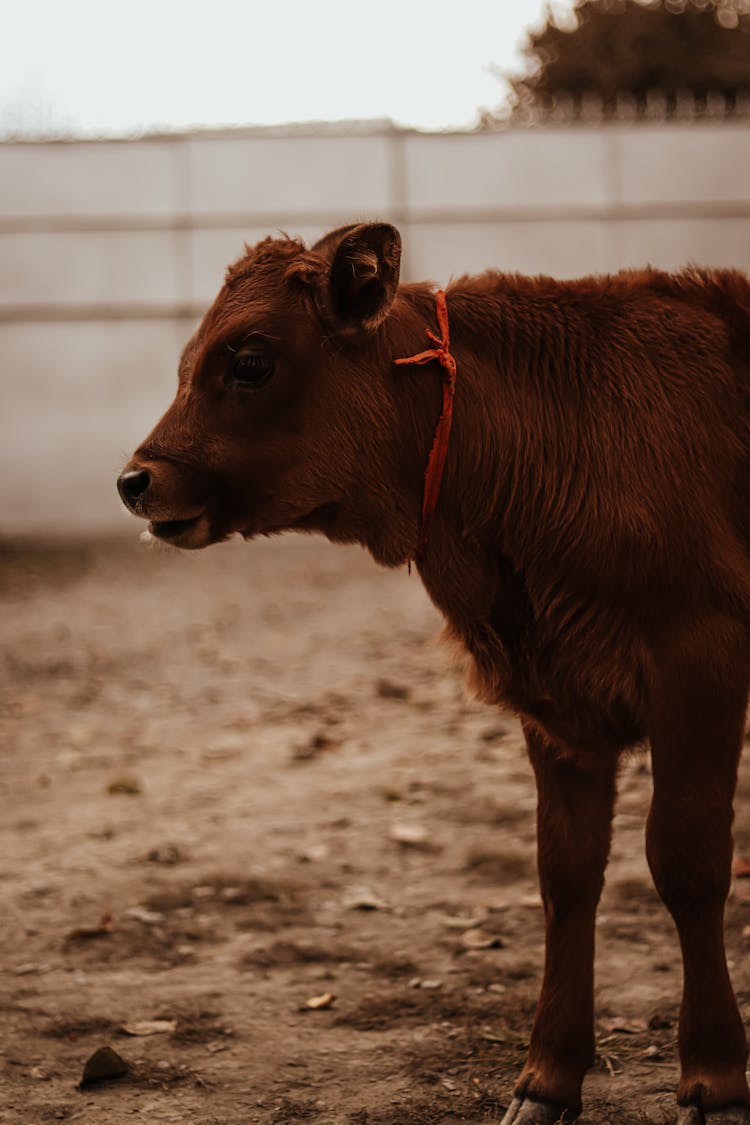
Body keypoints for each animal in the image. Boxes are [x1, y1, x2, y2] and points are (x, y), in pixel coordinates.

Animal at [117, 221, 750, 1125]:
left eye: (250, 362)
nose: (136, 481)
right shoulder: (556, 698)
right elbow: (566, 871)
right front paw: (547, 1077)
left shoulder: (699, 657)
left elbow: (689, 861)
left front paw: (715, 1078)